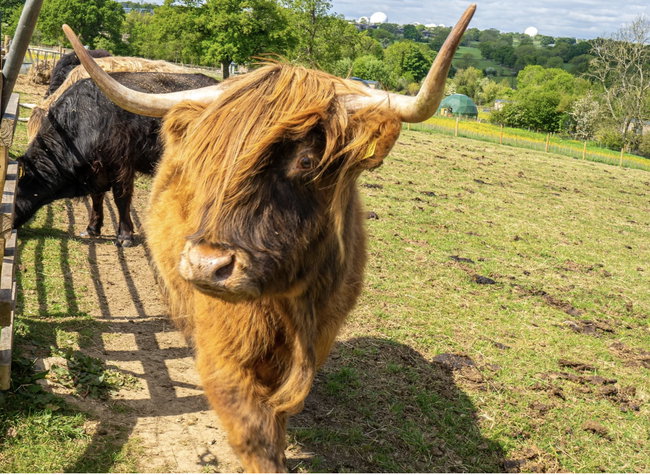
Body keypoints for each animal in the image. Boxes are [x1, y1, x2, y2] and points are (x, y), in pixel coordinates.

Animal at [15, 71, 218, 246]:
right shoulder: (97, 170)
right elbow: (97, 197)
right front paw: (92, 228)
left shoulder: (121, 165)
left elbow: (121, 198)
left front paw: (125, 235)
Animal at [64, 4, 475, 471]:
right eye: (205, 159)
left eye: (307, 160)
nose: (206, 265)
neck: (290, 304)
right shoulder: (224, 350)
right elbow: (254, 433)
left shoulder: (320, 335)